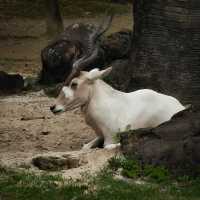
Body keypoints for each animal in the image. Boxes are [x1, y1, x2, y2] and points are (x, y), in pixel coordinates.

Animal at [50, 68, 186, 149]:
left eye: (74, 84)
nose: (53, 107)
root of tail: (180, 106)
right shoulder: (100, 135)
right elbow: (85, 147)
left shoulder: (110, 139)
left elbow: (107, 146)